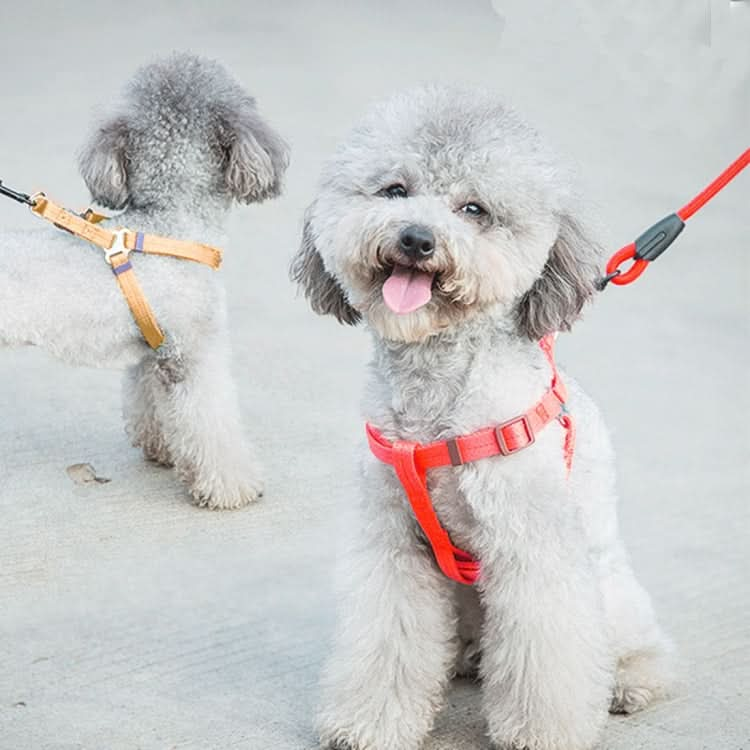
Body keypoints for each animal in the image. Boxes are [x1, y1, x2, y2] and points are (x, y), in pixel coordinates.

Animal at [0, 54, 290, 512]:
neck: (170, 222)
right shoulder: (191, 352)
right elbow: (211, 420)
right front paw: (230, 487)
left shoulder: (153, 352)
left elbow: (151, 403)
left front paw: (163, 449)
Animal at [294, 85, 676, 748]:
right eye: (394, 190)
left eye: (474, 209)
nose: (417, 238)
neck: (435, 398)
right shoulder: (394, 545)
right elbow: (387, 637)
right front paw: (371, 721)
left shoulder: (532, 547)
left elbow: (545, 651)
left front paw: (542, 731)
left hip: (604, 581)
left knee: (633, 641)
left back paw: (631, 679)